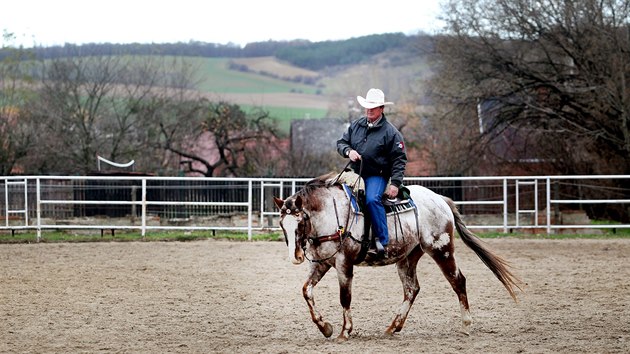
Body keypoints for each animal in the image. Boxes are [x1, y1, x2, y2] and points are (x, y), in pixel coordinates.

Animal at [274, 171, 524, 340]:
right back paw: (393, 327)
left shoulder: (345, 263)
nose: (295, 256)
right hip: (408, 257)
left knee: (458, 281)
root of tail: (440, 199)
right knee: (412, 289)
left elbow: (345, 297)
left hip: (441, 249)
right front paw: (325, 327)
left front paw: (345, 332)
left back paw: (466, 325)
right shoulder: (322, 264)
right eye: (282, 224)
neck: (329, 213)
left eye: (300, 221)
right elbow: (306, 291)